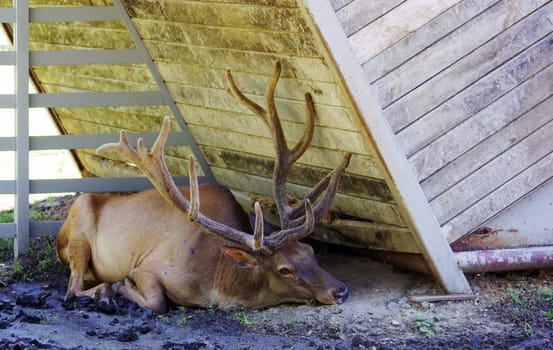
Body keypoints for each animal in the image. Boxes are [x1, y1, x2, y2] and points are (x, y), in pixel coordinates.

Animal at [56, 60, 350, 312]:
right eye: (284, 269)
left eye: (310, 251)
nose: (341, 291)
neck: (214, 281)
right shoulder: (148, 266)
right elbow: (156, 302)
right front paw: (121, 286)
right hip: (79, 232)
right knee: (71, 289)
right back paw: (104, 294)